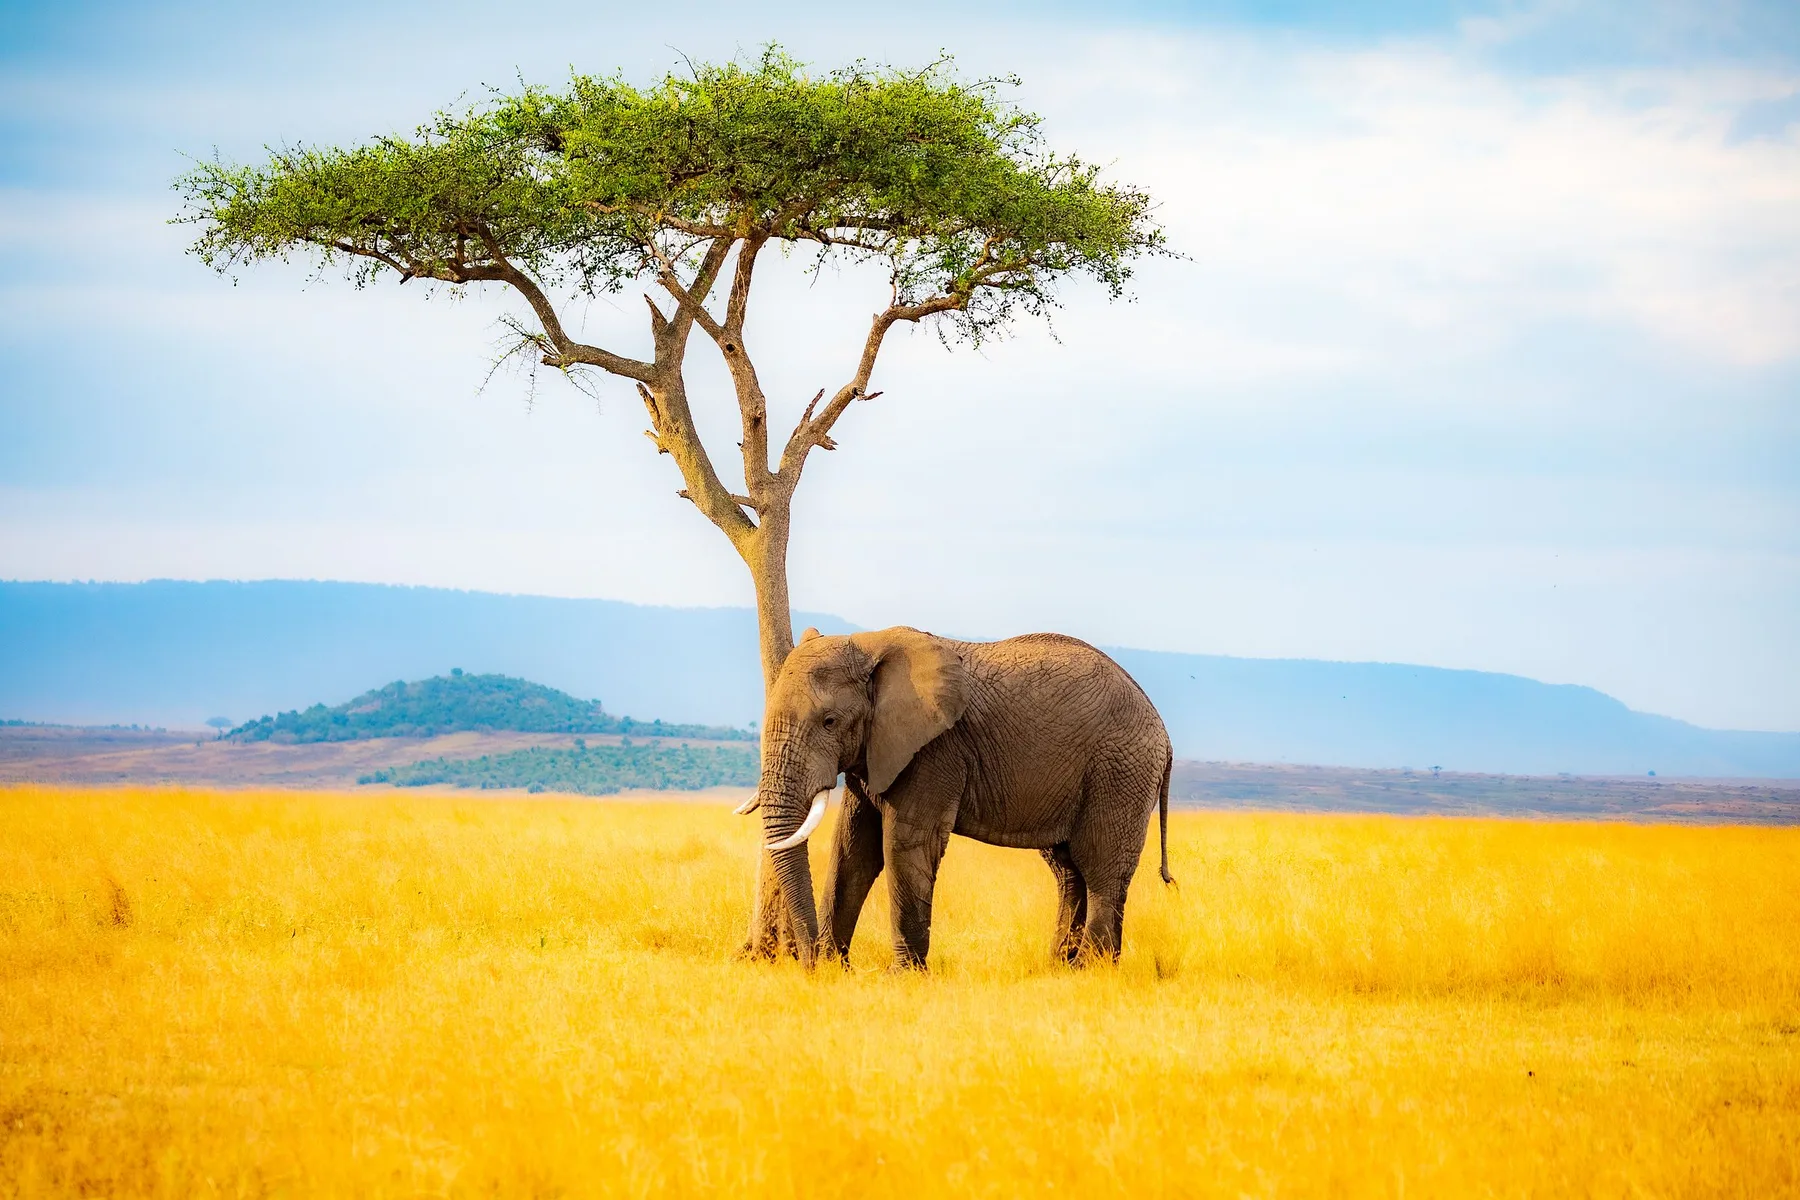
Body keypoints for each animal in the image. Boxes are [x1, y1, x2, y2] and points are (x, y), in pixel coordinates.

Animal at [741, 625, 1175, 969]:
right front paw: (835, 972)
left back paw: (1091, 971)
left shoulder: (936, 750)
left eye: (829, 721)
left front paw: (903, 979)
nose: (807, 961)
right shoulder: (874, 750)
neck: (869, 643)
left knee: (1101, 868)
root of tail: (1164, 732)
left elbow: (904, 845)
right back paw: (1062, 969)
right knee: (1069, 870)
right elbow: (852, 849)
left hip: (1120, 773)